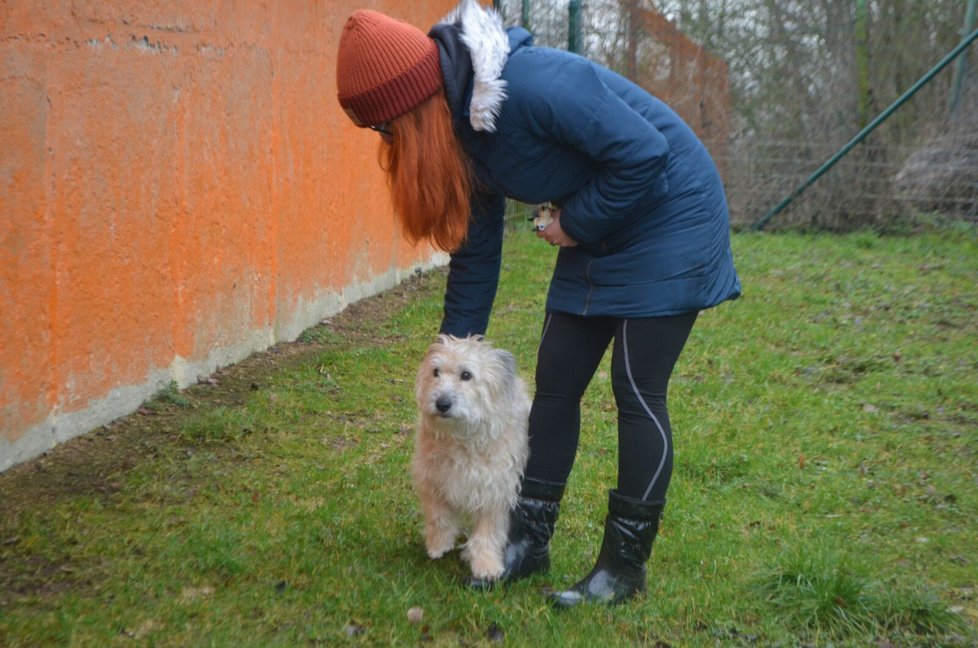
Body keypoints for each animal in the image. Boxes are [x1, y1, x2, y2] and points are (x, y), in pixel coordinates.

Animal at [414, 334, 532, 584]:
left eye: (466, 375)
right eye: (435, 372)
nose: (441, 404)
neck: (462, 439)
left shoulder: (495, 490)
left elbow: (487, 533)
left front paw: (486, 565)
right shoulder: (433, 478)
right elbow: (439, 515)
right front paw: (438, 544)